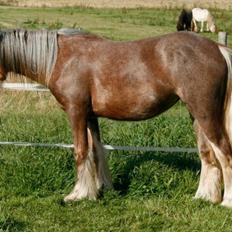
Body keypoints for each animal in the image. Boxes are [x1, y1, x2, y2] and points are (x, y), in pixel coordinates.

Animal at [0, 28, 232, 208]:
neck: (60, 58)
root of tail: (217, 48)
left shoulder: (76, 111)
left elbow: (80, 151)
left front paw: (77, 195)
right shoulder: (89, 115)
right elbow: (95, 151)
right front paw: (99, 189)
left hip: (205, 113)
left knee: (224, 153)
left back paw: (226, 202)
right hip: (197, 115)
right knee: (207, 154)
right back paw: (204, 197)